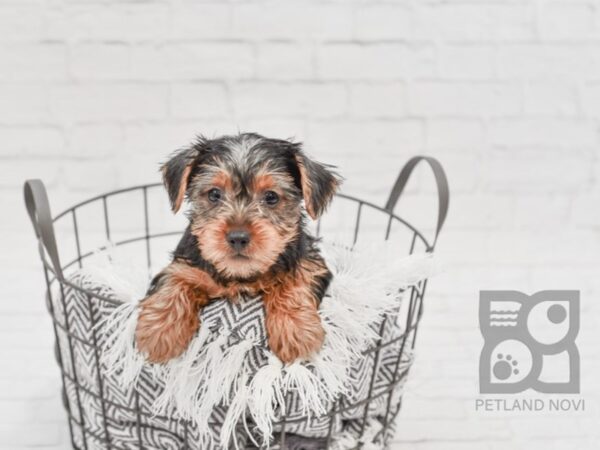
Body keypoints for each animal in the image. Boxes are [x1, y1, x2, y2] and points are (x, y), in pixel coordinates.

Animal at [136, 132, 342, 364]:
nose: (238, 237)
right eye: (214, 194)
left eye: (271, 197)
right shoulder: (185, 264)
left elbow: (296, 280)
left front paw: (296, 331)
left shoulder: (310, 260)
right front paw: (158, 332)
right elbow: (174, 281)